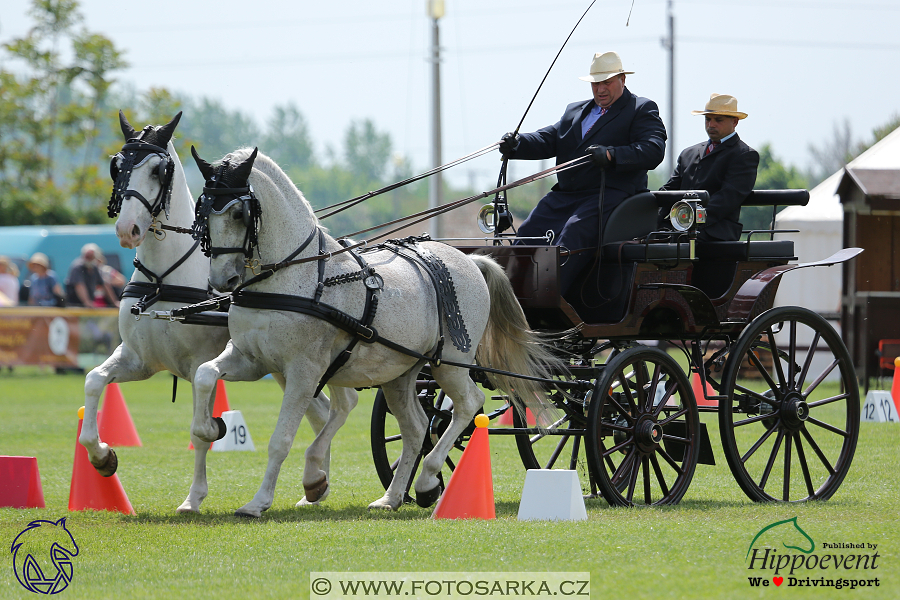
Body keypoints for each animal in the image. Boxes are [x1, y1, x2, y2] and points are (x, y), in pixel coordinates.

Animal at [79, 111, 352, 510]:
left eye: (159, 170)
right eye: (117, 166)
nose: (127, 229)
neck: (163, 279)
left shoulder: (199, 363)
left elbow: (200, 431)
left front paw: (194, 495)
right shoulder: (138, 358)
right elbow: (94, 380)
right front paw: (102, 456)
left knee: (338, 407)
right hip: (286, 367)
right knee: (322, 412)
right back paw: (316, 485)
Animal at [188, 145, 564, 516]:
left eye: (239, 213)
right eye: (202, 213)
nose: (222, 280)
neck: (293, 275)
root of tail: (469, 259)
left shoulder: (303, 371)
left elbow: (281, 439)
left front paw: (258, 502)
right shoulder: (252, 360)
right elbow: (205, 374)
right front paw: (210, 431)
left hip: (450, 364)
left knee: (468, 404)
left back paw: (426, 480)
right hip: (400, 373)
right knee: (416, 428)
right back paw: (392, 496)